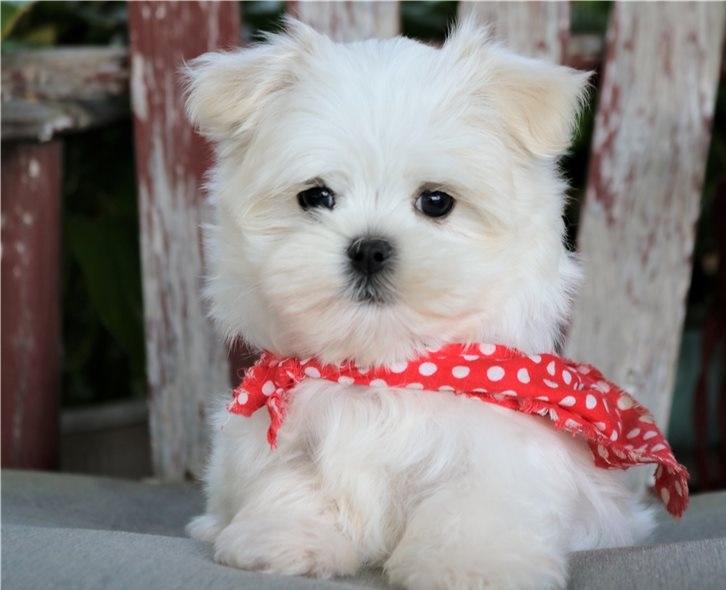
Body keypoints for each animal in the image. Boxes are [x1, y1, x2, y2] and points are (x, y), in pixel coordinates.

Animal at [184, 17, 657, 590]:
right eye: (315, 197)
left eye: (436, 201)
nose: (369, 249)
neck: (383, 369)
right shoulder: (282, 443)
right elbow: (294, 483)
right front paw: (286, 539)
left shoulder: (497, 453)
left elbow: (474, 509)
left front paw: (472, 567)